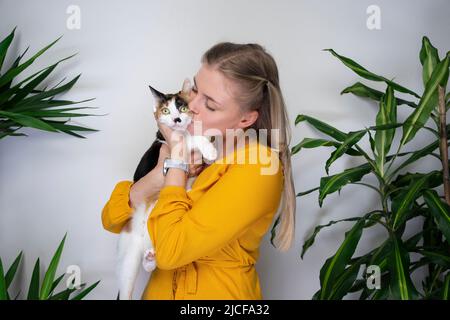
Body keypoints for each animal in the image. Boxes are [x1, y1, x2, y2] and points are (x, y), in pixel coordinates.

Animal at [117, 79, 217, 298]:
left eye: (183, 108)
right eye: (165, 110)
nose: (177, 119)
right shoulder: (170, 142)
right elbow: (191, 138)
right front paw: (209, 149)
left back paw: (150, 259)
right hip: (128, 254)